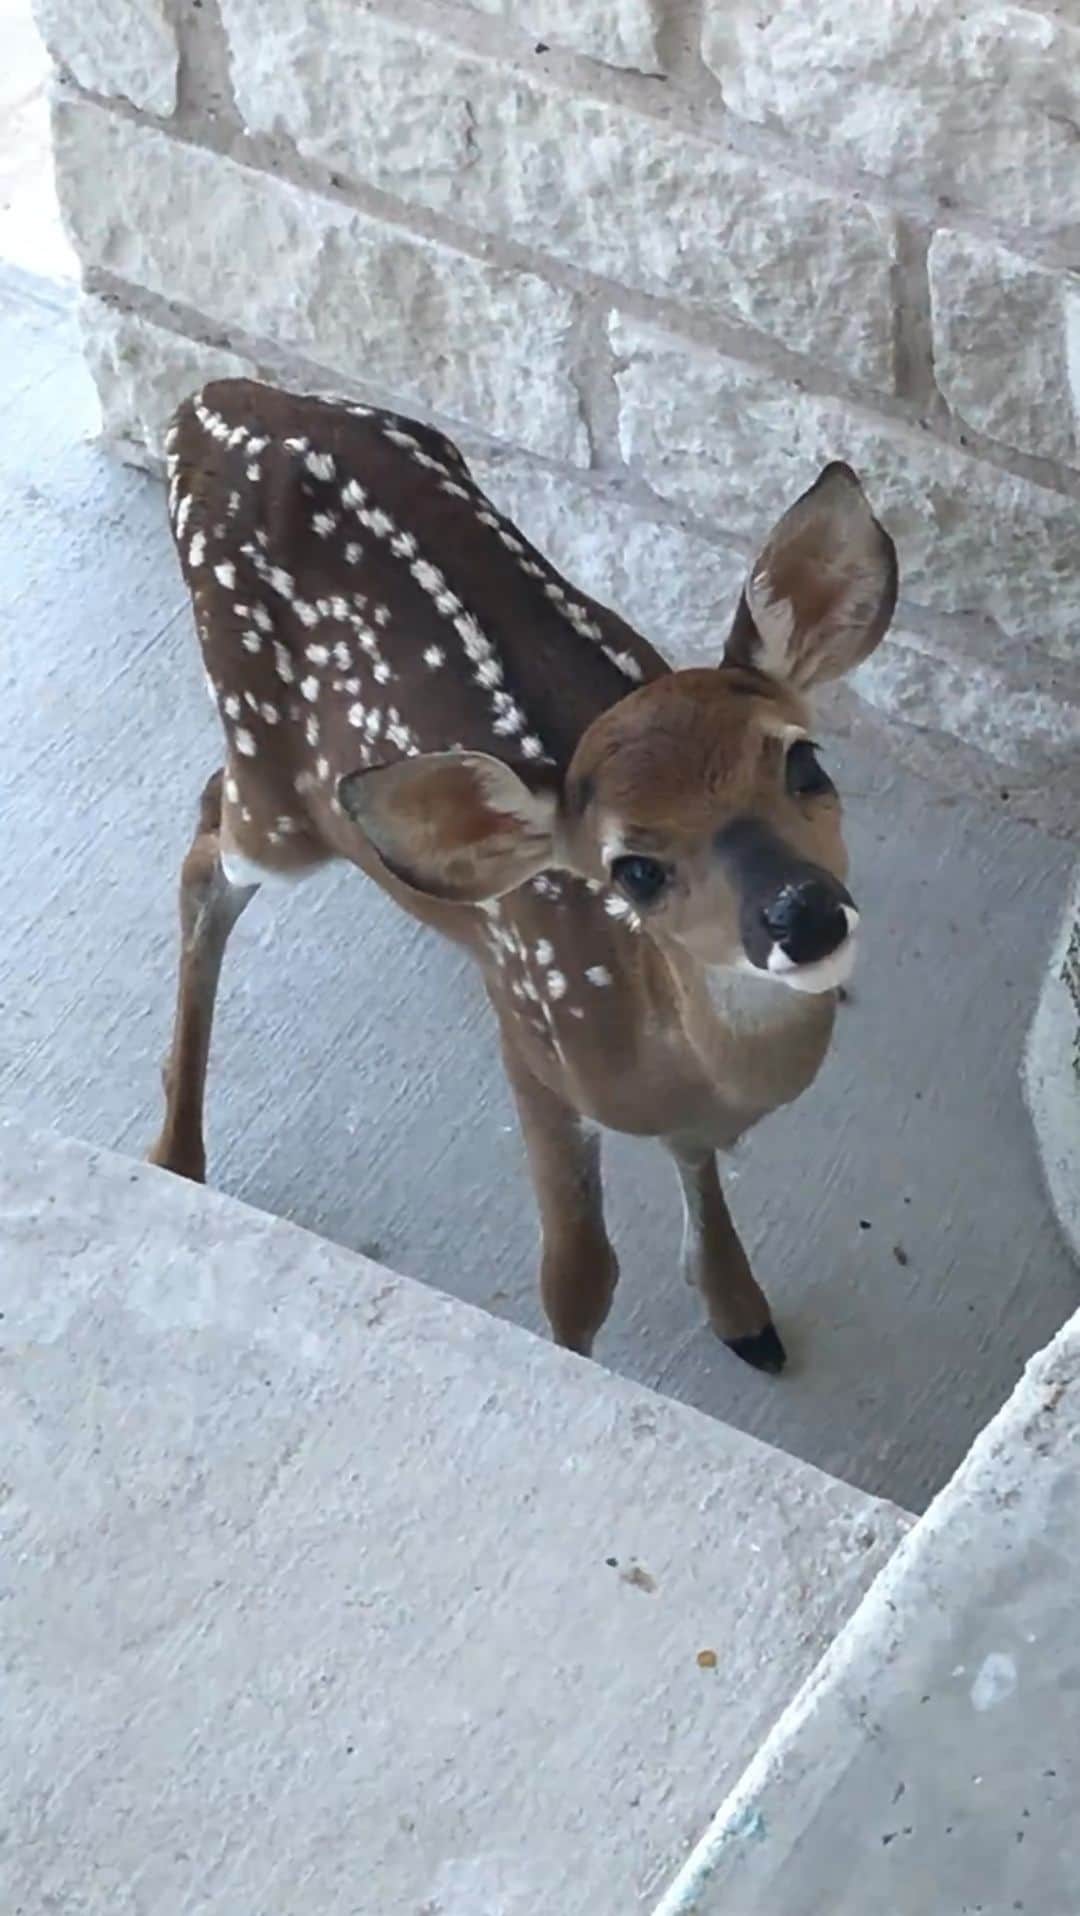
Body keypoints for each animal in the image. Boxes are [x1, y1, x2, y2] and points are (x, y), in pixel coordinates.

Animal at [149, 379, 898, 1374]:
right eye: (633, 870)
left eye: (805, 762)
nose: (802, 914)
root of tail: (209, 401)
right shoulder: (534, 1045)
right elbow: (579, 1276)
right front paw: (572, 1365)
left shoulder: (684, 1109)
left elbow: (692, 1159)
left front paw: (740, 1308)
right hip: (272, 788)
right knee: (205, 857)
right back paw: (174, 1153)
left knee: (205, 802)